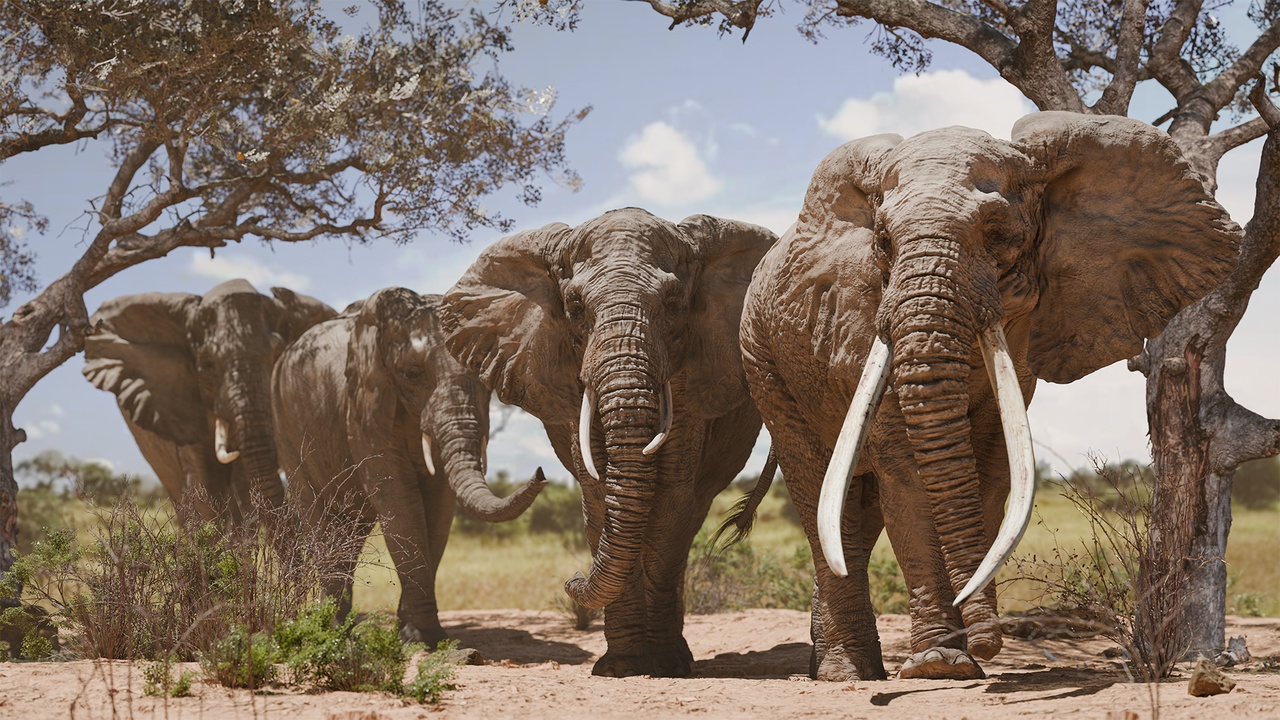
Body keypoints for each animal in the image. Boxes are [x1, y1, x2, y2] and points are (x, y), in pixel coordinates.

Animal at [271, 287, 546, 644]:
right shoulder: (364, 404)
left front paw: (422, 634)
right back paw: (329, 629)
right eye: (411, 374)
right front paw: (421, 637)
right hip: (286, 430)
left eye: (484, 378)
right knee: (318, 514)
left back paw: (340, 626)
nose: (541, 472)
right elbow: (400, 500)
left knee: (352, 527)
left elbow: (439, 505)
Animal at [441, 207, 777, 677]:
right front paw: (621, 666)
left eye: (674, 304)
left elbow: (670, 503)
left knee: (689, 516)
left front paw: (665, 664)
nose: (572, 580)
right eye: (575, 307)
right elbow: (598, 496)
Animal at [739, 112, 1242, 681]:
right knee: (822, 494)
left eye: (998, 235)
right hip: (764, 364)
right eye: (883, 242)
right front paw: (941, 664)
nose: (988, 643)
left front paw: (960, 657)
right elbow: (907, 475)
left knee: (854, 515)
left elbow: (994, 466)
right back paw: (848, 674)